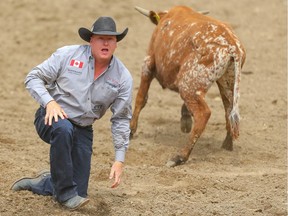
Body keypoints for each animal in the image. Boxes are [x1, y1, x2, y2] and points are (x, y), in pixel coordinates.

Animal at [130, 5, 245, 167]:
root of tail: (232, 46)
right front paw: (185, 120)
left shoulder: (147, 63)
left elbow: (141, 98)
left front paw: (131, 130)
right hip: (226, 82)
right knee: (228, 109)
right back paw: (227, 144)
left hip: (187, 85)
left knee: (203, 113)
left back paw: (179, 156)